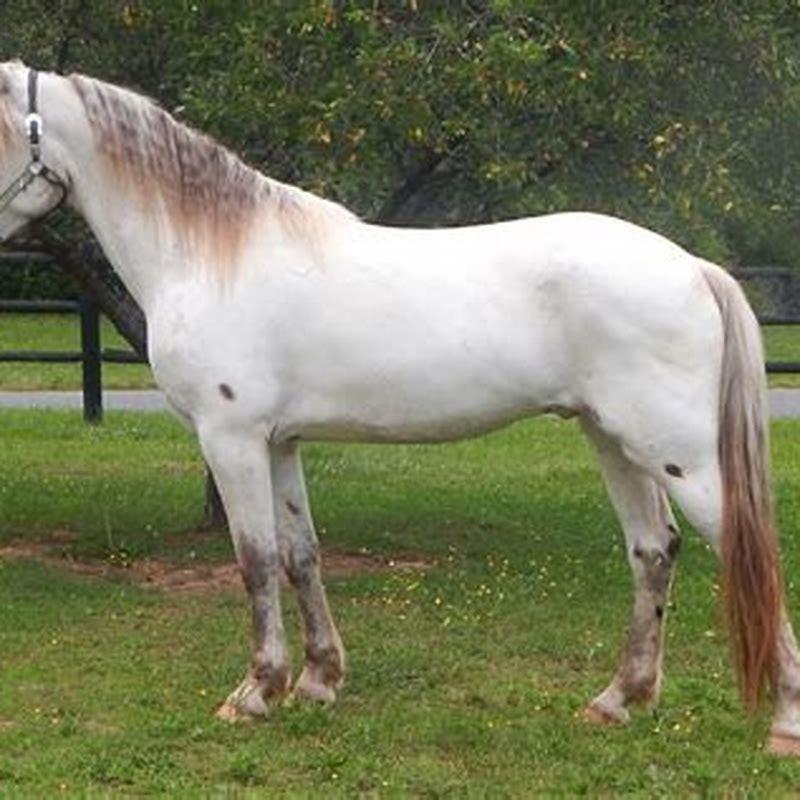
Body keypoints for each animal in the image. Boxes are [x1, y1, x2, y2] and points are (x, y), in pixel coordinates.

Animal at [1, 60, 799, 755]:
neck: (211, 253)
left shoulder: (231, 438)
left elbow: (255, 562)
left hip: (678, 455)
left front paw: (255, 693)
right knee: (653, 551)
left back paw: (782, 725)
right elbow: (301, 556)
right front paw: (318, 682)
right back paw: (618, 700)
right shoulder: (279, 442)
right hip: (613, 440)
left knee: (745, 550)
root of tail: (691, 267)